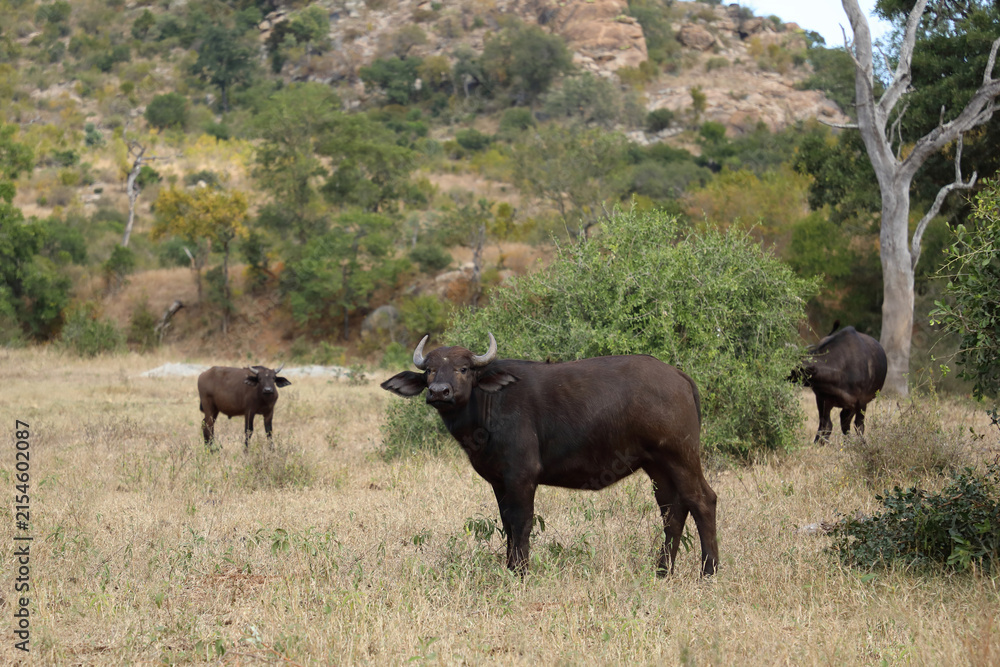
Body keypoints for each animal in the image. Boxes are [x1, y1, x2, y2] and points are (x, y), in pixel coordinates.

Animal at [381, 334, 719, 576]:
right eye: (430, 370)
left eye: (463, 369)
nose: (439, 392)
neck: (488, 408)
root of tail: (678, 377)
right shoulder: (499, 482)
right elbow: (507, 523)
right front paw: (510, 567)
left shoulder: (522, 477)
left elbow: (522, 522)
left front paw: (520, 571)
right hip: (656, 464)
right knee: (672, 509)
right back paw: (662, 571)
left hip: (681, 456)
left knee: (702, 500)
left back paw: (708, 570)